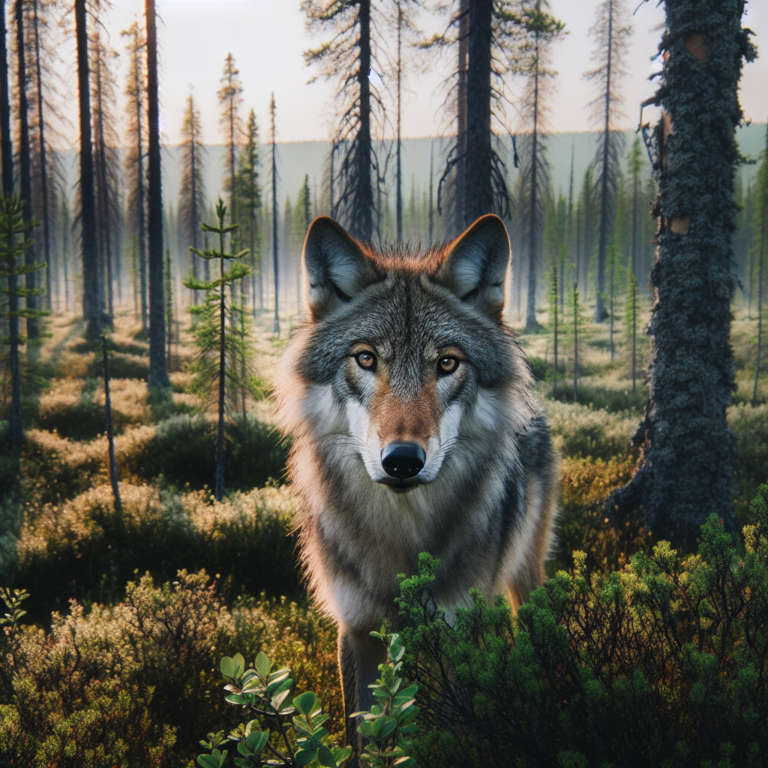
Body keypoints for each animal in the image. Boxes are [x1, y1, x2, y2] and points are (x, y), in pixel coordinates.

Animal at [274, 213, 558, 745]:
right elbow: (363, 740)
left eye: (447, 363)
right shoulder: (357, 631)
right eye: (366, 358)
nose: (402, 460)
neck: (401, 539)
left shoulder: (459, 631)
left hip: (525, 577)